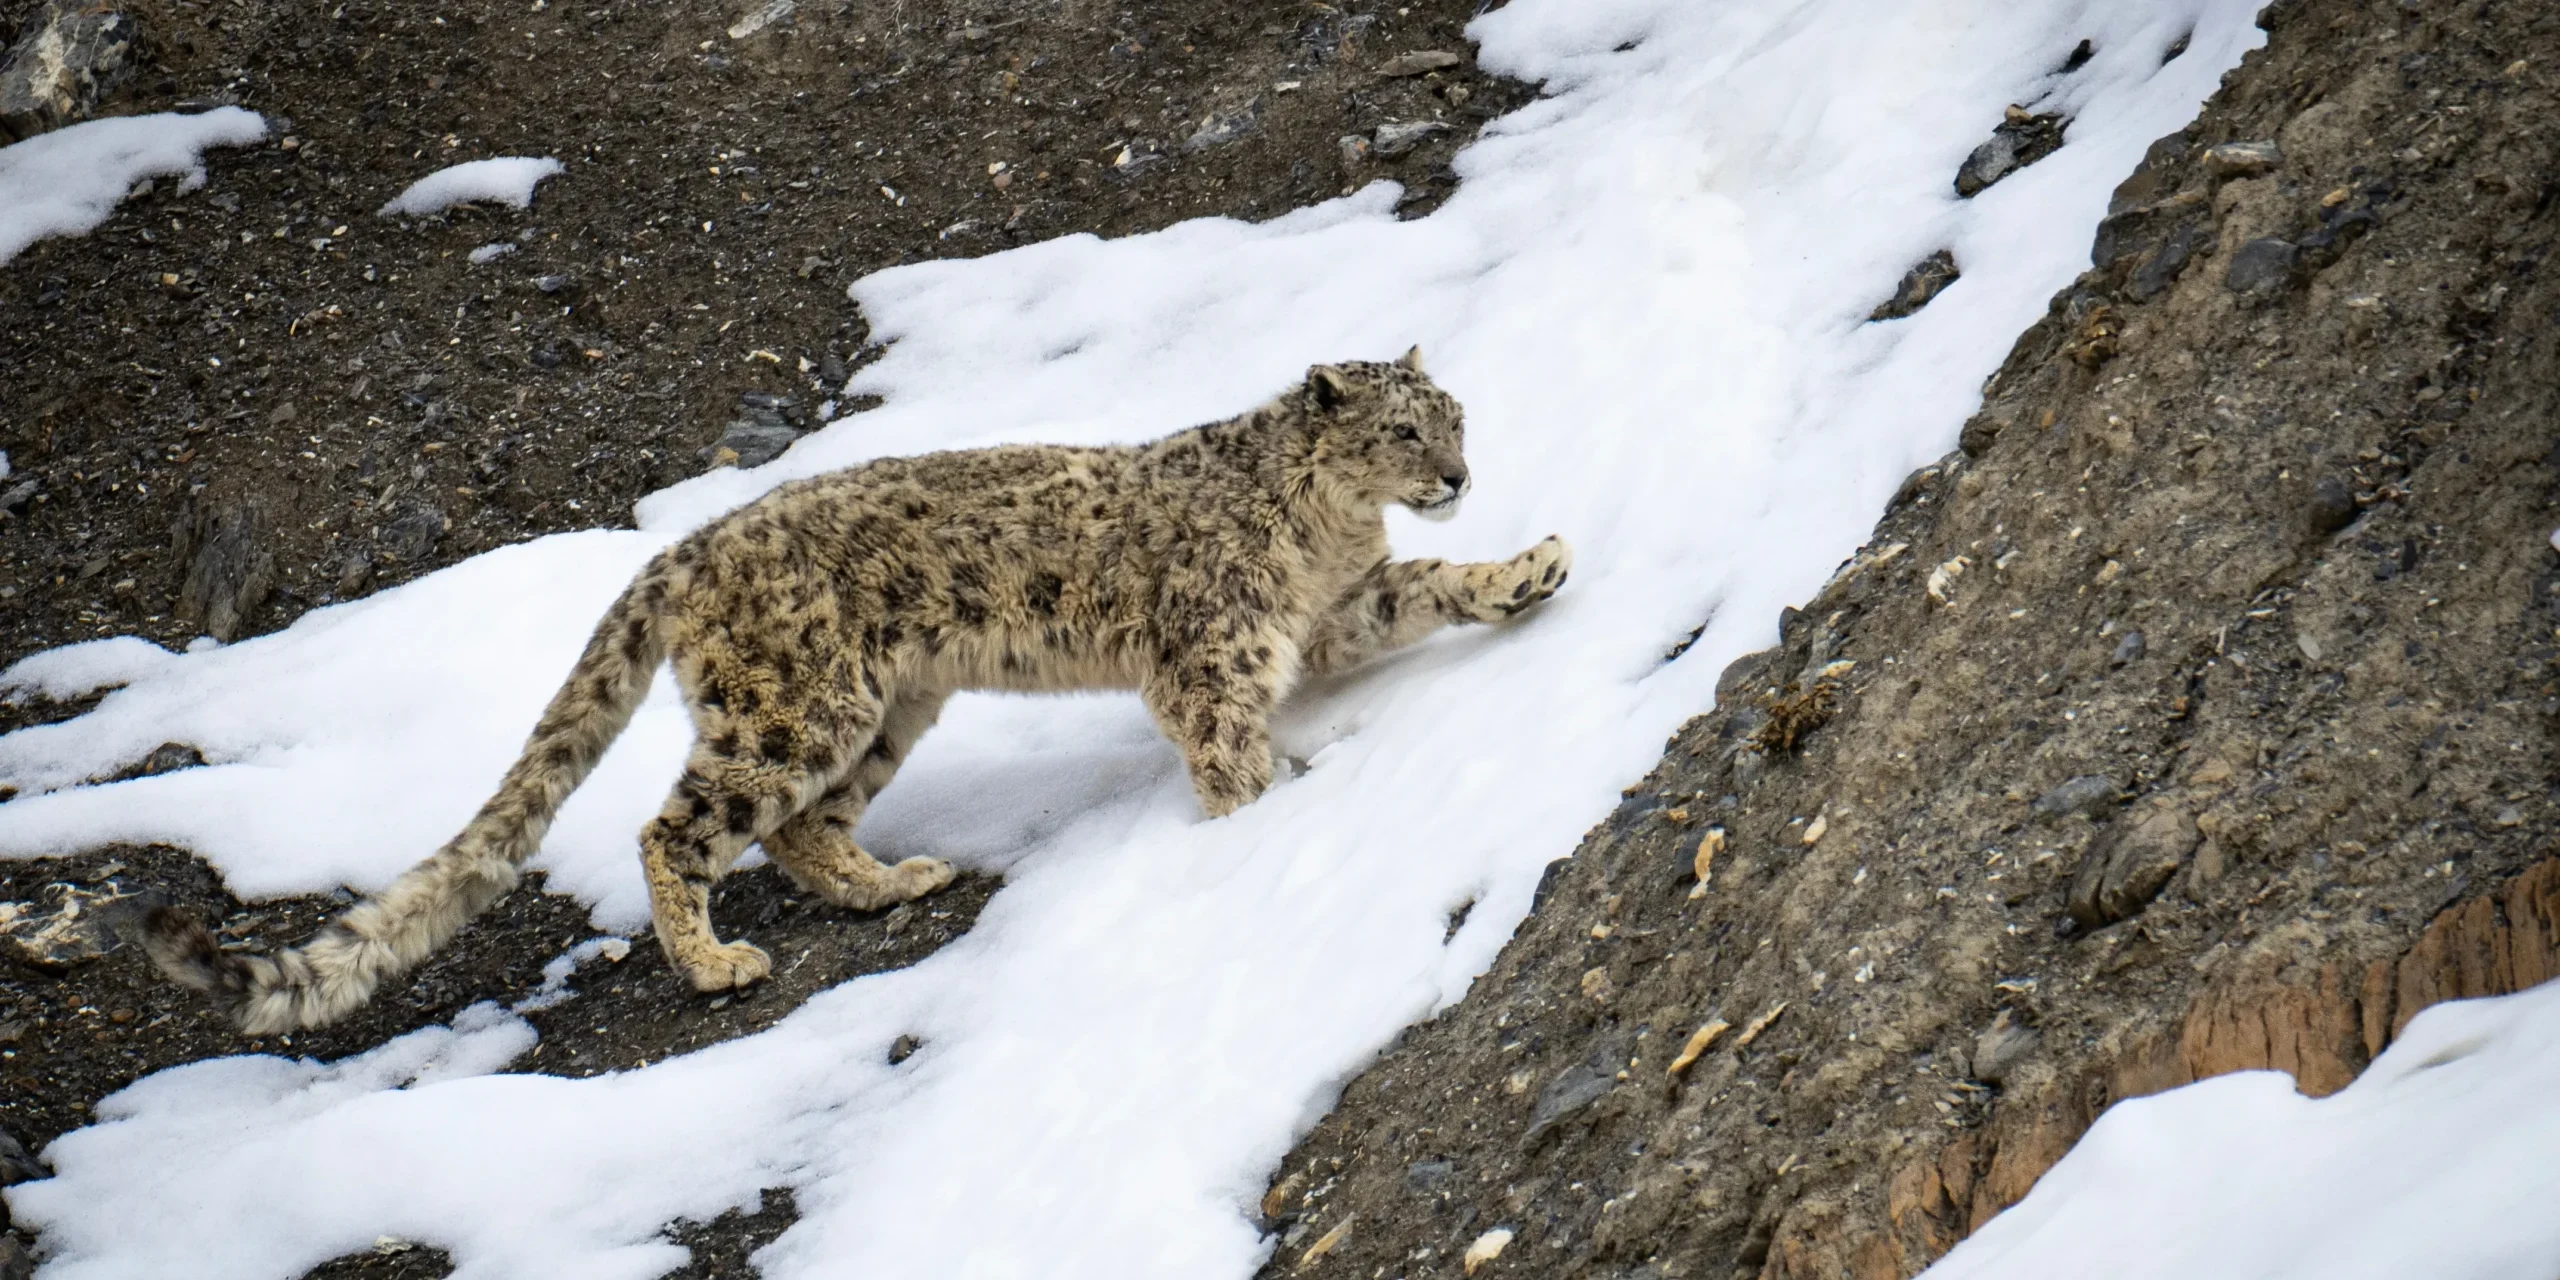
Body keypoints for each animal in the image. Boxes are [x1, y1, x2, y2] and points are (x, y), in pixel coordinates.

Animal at [142, 348, 1573, 1033]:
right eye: (1404, 427)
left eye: (1455, 412)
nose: (1457, 472)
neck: (1324, 538)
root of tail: (682, 549)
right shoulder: (1210, 658)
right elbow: (1225, 751)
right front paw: (1262, 824)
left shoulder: (1332, 613)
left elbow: (1426, 588)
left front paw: (1529, 571)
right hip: (797, 708)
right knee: (680, 825)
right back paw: (715, 960)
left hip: (883, 710)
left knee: (799, 827)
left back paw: (891, 882)